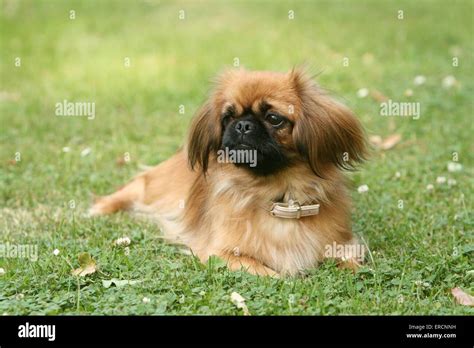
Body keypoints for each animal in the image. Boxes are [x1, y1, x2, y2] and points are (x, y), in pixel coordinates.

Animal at [90, 68, 368, 276]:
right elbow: (265, 270)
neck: (279, 194)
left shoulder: (343, 244)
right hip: (156, 188)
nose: (242, 125)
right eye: (227, 117)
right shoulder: (221, 253)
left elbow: (351, 264)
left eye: (274, 118)